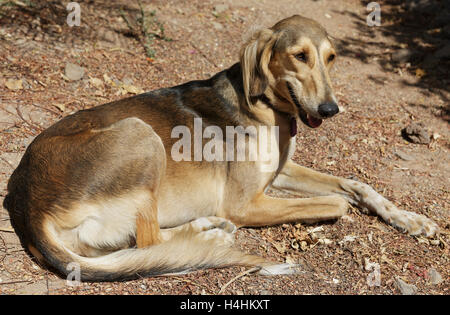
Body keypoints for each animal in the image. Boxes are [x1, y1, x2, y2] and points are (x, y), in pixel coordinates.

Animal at [2, 15, 440, 282]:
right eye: (300, 56)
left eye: (331, 58)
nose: (330, 110)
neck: (268, 108)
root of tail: (28, 206)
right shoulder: (246, 204)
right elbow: (339, 203)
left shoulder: (281, 170)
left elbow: (356, 186)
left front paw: (412, 220)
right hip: (140, 134)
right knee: (149, 242)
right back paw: (208, 236)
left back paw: (204, 229)